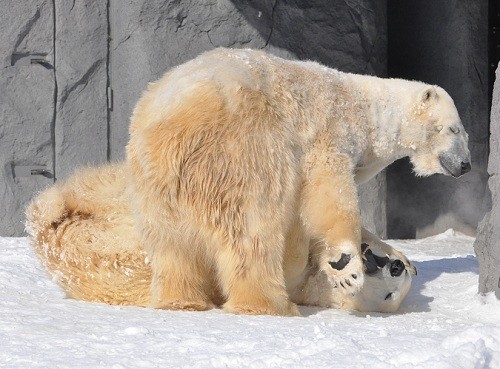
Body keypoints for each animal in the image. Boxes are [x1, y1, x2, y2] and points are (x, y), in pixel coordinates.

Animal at [123, 47, 470, 314]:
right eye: (455, 129)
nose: (466, 165)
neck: (366, 108)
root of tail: (177, 125)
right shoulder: (330, 131)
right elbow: (328, 190)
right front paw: (346, 266)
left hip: (153, 180)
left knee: (170, 243)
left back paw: (182, 299)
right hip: (244, 151)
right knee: (255, 228)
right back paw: (269, 303)